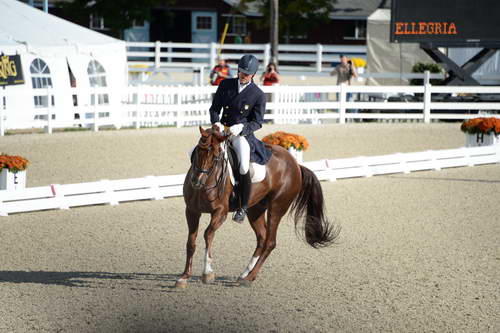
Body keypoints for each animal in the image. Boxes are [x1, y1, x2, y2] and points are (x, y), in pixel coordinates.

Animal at [177, 126, 340, 286]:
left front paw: (207, 273)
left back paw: (249, 278)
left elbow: (208, 234)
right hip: (256, 209)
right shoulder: (191, 211)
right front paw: (184, 276)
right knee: (261, 238)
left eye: (217, 156)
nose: (197, 182)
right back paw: (244, 274)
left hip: (277, 207)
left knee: (270, 242)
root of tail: (296, 164)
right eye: (198, 150)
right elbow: (191, 242)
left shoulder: (220, 212)